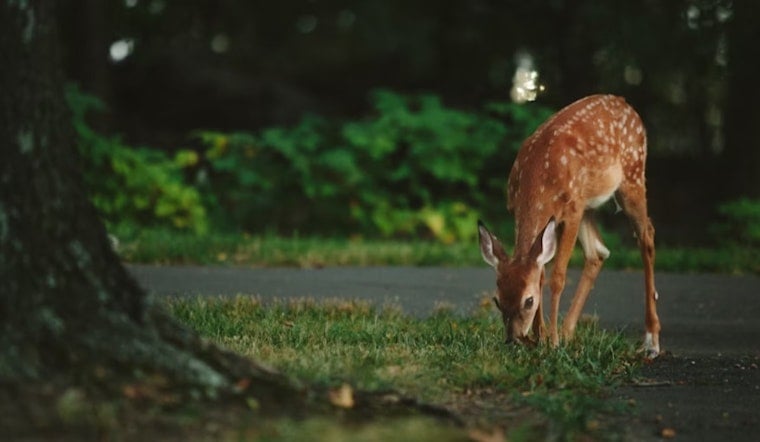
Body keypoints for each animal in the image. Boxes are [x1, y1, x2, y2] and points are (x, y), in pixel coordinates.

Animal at [478, 94, 661, 359]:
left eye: (528, 301)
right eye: (497, 300)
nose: (513, 339)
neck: (538, 178)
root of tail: (625, 103)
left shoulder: (571, 212)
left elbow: (557, 277)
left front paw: (551, 341)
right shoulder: (519, 210)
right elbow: (540, 272)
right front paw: (541, 337)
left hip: (632, 175)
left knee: (647, 235)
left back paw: (651, 340)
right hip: (588, 204)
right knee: (598, 252)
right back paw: (567, 332)